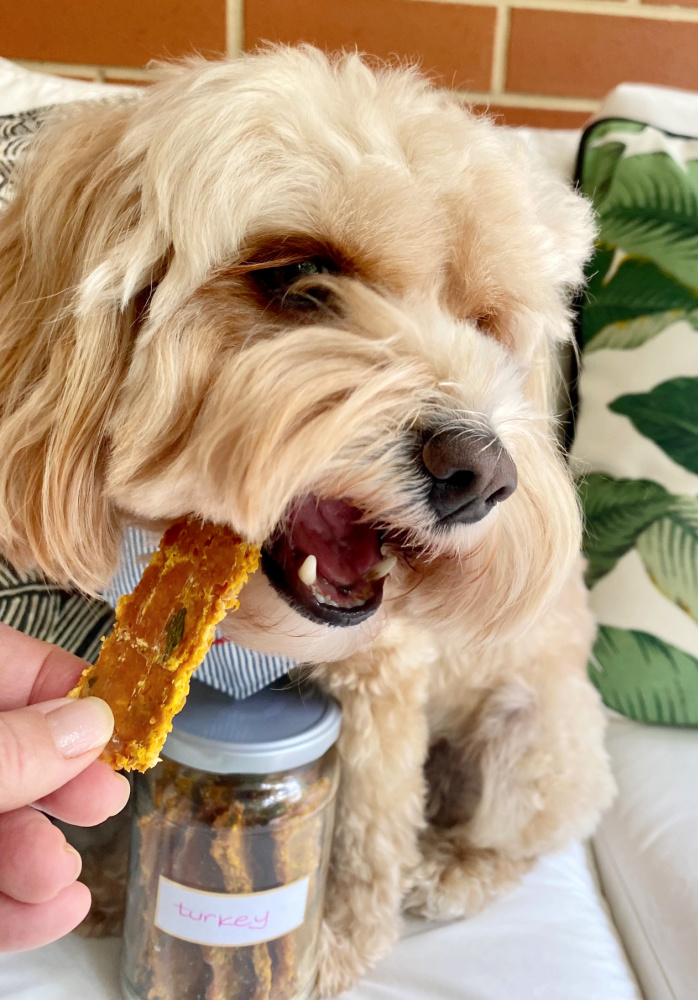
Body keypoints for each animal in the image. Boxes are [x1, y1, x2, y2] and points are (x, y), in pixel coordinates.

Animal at [0, 45, 608, 992]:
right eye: (296, 277)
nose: (479, 475)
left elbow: (368, 824)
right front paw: (110, 878)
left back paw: (455, 868)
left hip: (535, 739)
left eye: (486, 323)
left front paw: (337, 944)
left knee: (515, 836)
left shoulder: (385, 686)